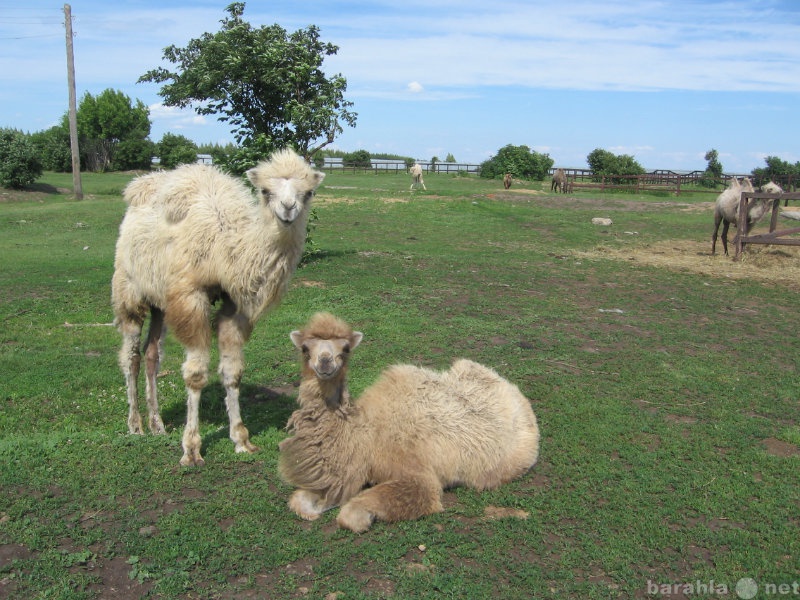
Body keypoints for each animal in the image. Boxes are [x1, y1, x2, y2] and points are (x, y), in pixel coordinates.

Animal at [278, 312, 540, 532]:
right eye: (304, 348)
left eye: (346, 348)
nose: (325, 363)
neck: (365, 436)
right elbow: (299, 501)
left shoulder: (418, 473)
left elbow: (350, 516)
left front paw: (364, 517)